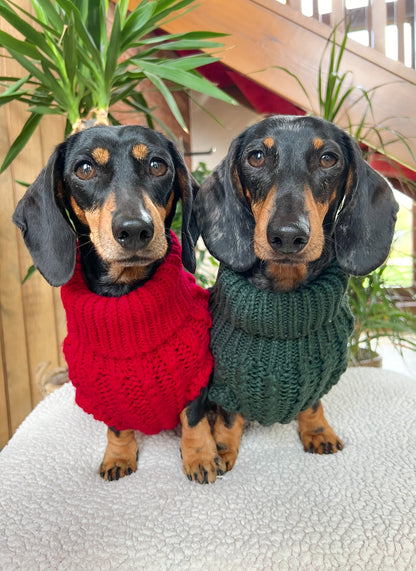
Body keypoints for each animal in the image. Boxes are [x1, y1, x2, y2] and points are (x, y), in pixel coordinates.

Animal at [12, 126, 218, 482]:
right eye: (84, 169)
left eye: (157, 165)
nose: (135, 229)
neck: (125, 294)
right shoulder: (107, 393)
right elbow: (118, 428)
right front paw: (119, 456)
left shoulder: (196, 372)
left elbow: (193, 417)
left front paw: (200, 455)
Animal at [180, 118, 398, 484]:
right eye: (255, 157)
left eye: (328, 158)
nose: (287, 236)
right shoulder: (226, 382)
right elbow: (229, 418)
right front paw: (222, 448)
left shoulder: (319, 377)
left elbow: (313, 403)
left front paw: (317, 431)